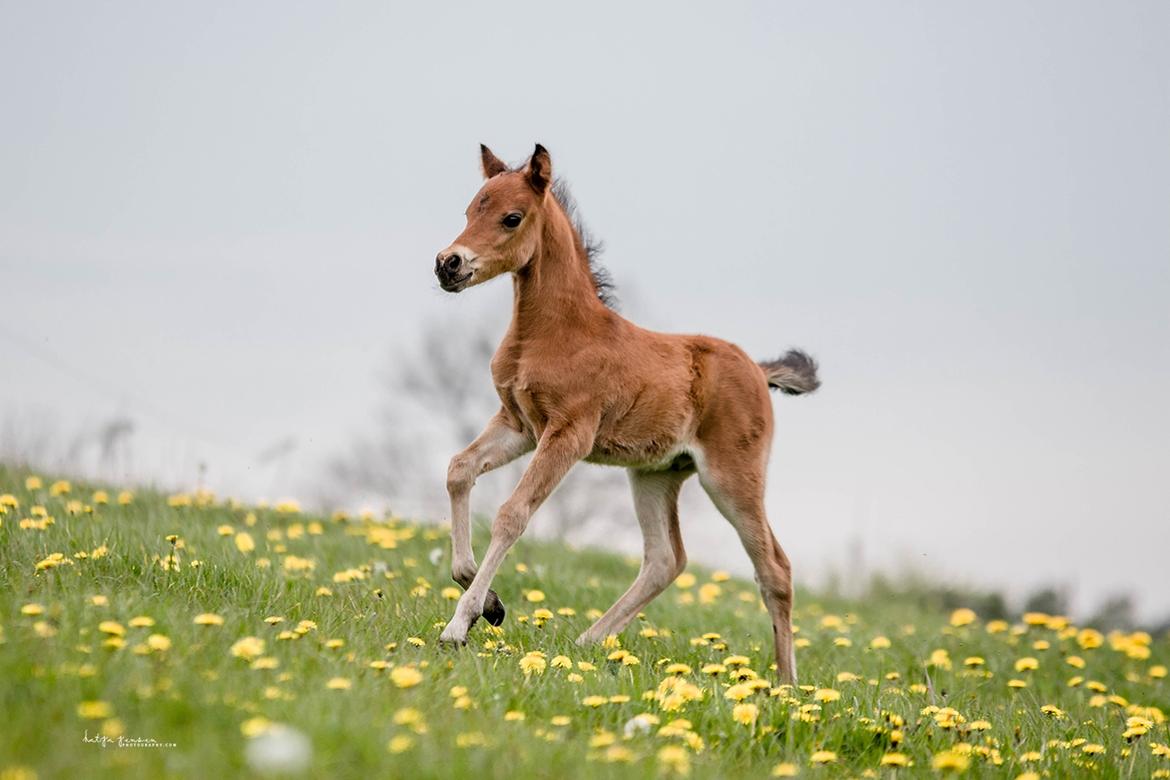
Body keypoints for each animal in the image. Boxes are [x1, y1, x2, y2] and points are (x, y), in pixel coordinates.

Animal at [435, 143, 819, 678]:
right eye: (470, 211)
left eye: (512, 218)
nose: (448, 264)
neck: (554, 332)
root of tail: (759, 370)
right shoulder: (519, 424)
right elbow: (459, 470)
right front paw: (488, 602)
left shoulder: (569, 433)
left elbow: (513, 513)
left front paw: (459, 625)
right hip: (655, 474)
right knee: (665, 559)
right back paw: (586, 642)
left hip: (732, 476)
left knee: (774, 567)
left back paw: (785, 685)